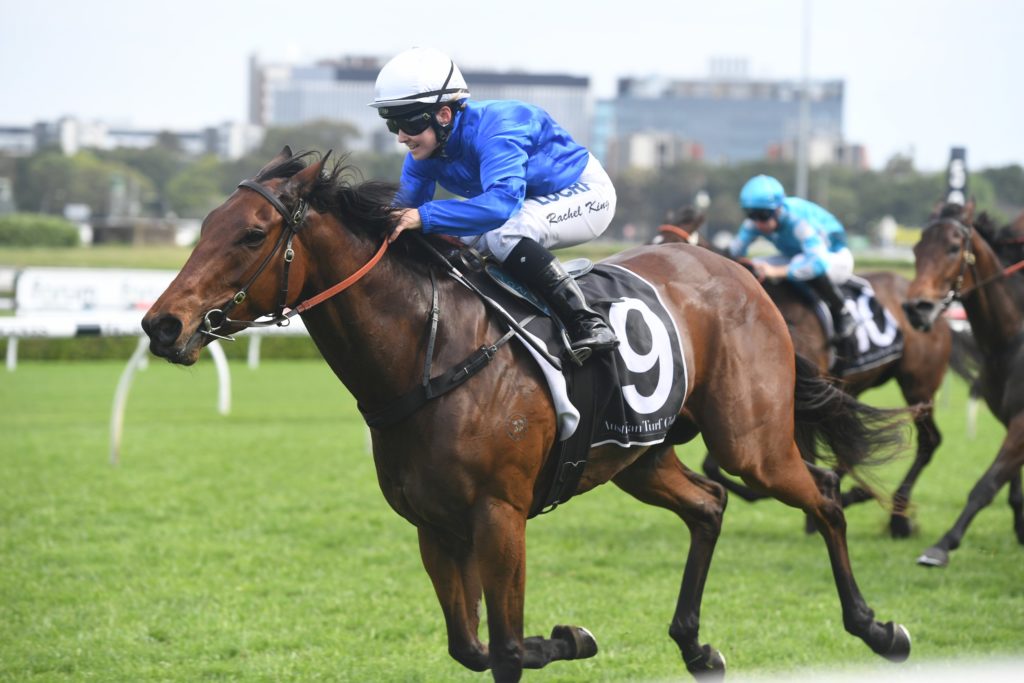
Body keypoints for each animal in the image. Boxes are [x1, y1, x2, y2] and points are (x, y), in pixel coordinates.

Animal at [142, 148, 912, 681]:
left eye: (251, 234)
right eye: (204, 225)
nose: (160, 325)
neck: (430, 354)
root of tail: (739, 272)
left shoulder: (498, 515)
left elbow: (508, 648)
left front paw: (560, 638)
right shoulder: (435, 525)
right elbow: (471, 645)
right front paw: (570, 637)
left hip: (751, 440)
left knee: (823, 493)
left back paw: (876, 627)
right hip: (641, 454)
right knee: (710, 503)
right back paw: (696, 644)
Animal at [653, 209, 953, 538]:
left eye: (669, 247)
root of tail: (931, 306)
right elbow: (715, 465)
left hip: (918, 385)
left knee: (928, 440)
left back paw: (898, 519)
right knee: (851, 449)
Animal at [903, 201, 1024, 567]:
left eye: (953, 247)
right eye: (916, 248)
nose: (916, 308)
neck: (1010, 339)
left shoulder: (1022, 421)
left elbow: (987, 484)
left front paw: (941, 545)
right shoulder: (1008, 418)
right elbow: (1010, 483)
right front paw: (1021, 527)